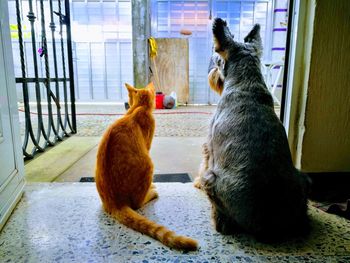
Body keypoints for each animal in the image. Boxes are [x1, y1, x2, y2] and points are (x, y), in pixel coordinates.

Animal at [95, 83, 198, 252]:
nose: (128, 103)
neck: (139, 107)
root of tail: (114, 203)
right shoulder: (147, 145)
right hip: (149, 164)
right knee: (137, 203)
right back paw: (152, 192)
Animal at [201, 17, 310, 242]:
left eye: (218, 60)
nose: (213, 72)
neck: (246, 82)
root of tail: (269, 224)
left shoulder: (210, 148)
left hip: (212, 179)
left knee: (222, 217)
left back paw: (218, 220)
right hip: (304, 179)